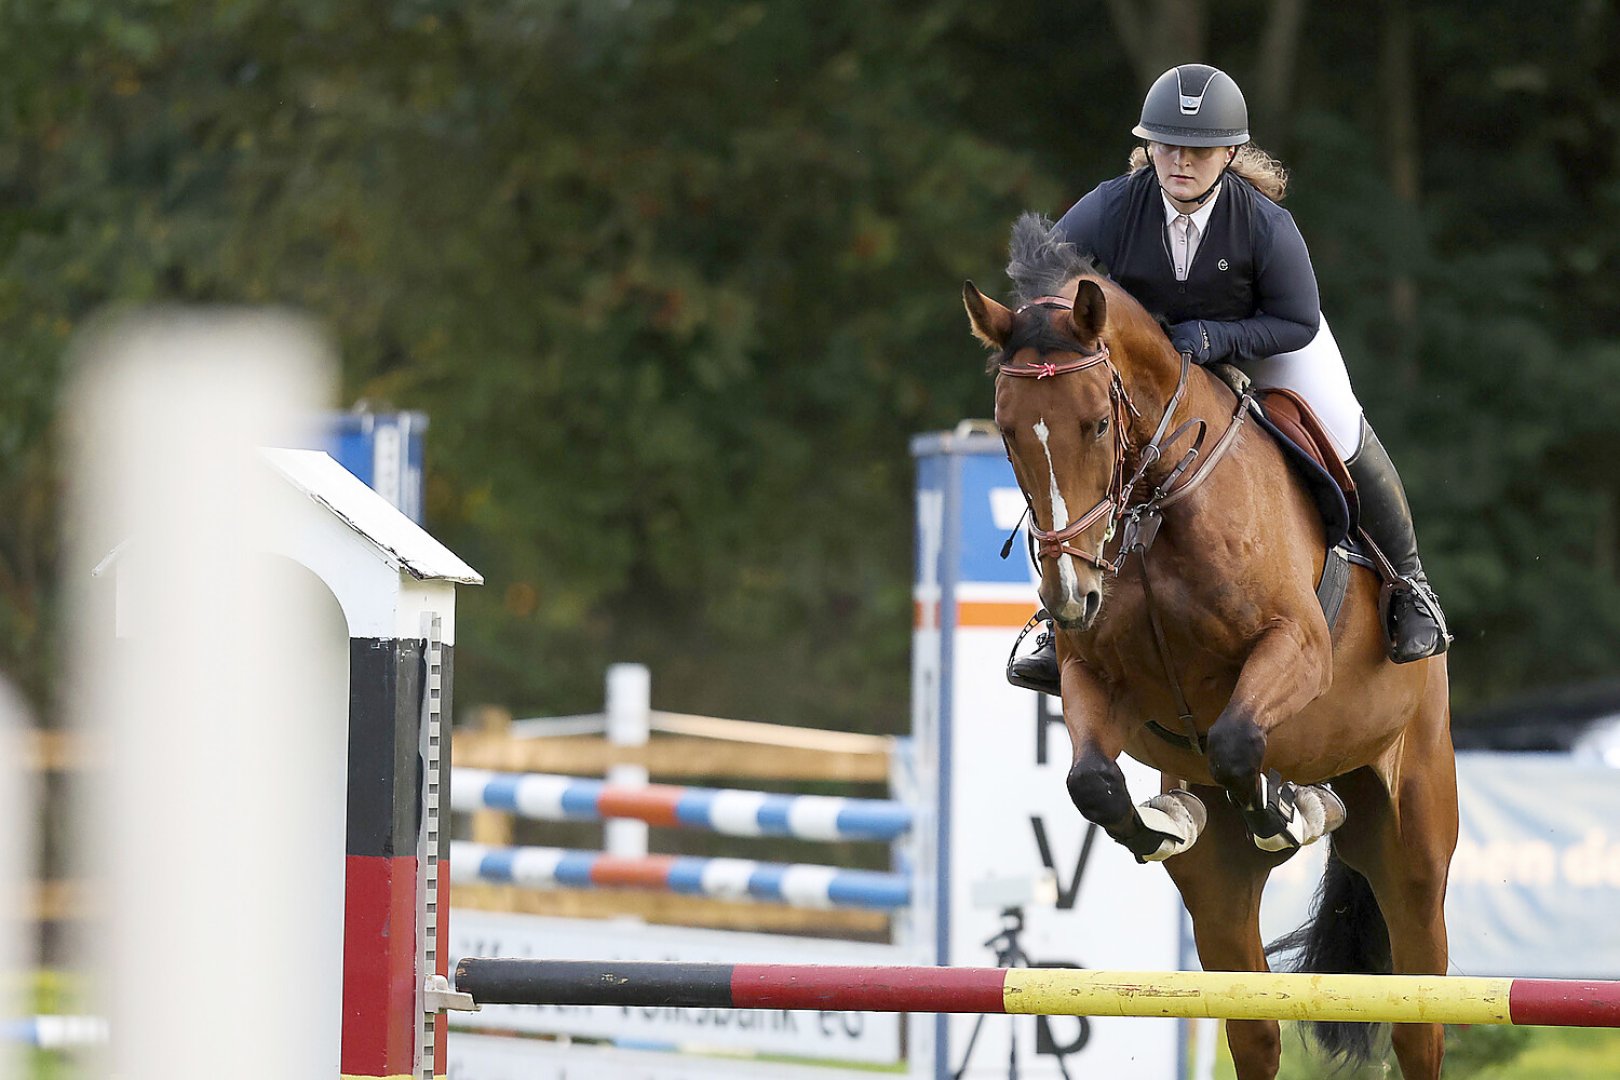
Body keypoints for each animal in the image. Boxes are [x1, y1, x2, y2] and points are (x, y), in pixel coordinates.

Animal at [959, 223, 1458, 1075]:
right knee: (1254, 1028)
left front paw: (1294, 809)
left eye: (1097, 423)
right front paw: (1169, 821)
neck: (1156, 507)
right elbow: (1093, 783)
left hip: (1414, 848)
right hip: (1223, 895)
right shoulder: (1094, 676)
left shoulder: (1296, 649)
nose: (1069, 596)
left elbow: (1232, 740)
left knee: (1418, 1021)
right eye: (1008, 432)